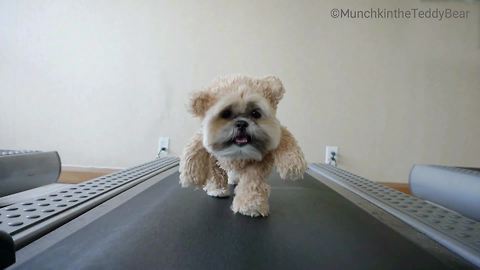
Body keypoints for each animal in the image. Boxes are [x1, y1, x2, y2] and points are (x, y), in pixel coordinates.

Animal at [180, 74, 308, 217]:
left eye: (255, 114)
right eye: (226, 113)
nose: (241, 123)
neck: (238, 154)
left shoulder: (258, 165)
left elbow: (251, 181)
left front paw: (251, 206)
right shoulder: (212, 157)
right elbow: (209, 167)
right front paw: (216, 189)